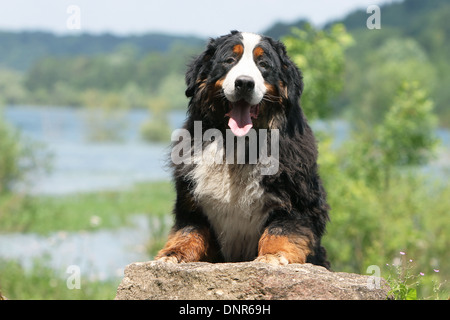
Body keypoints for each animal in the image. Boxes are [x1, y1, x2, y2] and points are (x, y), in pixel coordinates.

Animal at [155, 31, 330, 268]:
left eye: (263, 64)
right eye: (230, 60)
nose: (245, 83)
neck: (237, 144)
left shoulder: (298, 203)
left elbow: (281, 231)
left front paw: (274, 255)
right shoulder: (192, 206)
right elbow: (189, 231)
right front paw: (173, 253)